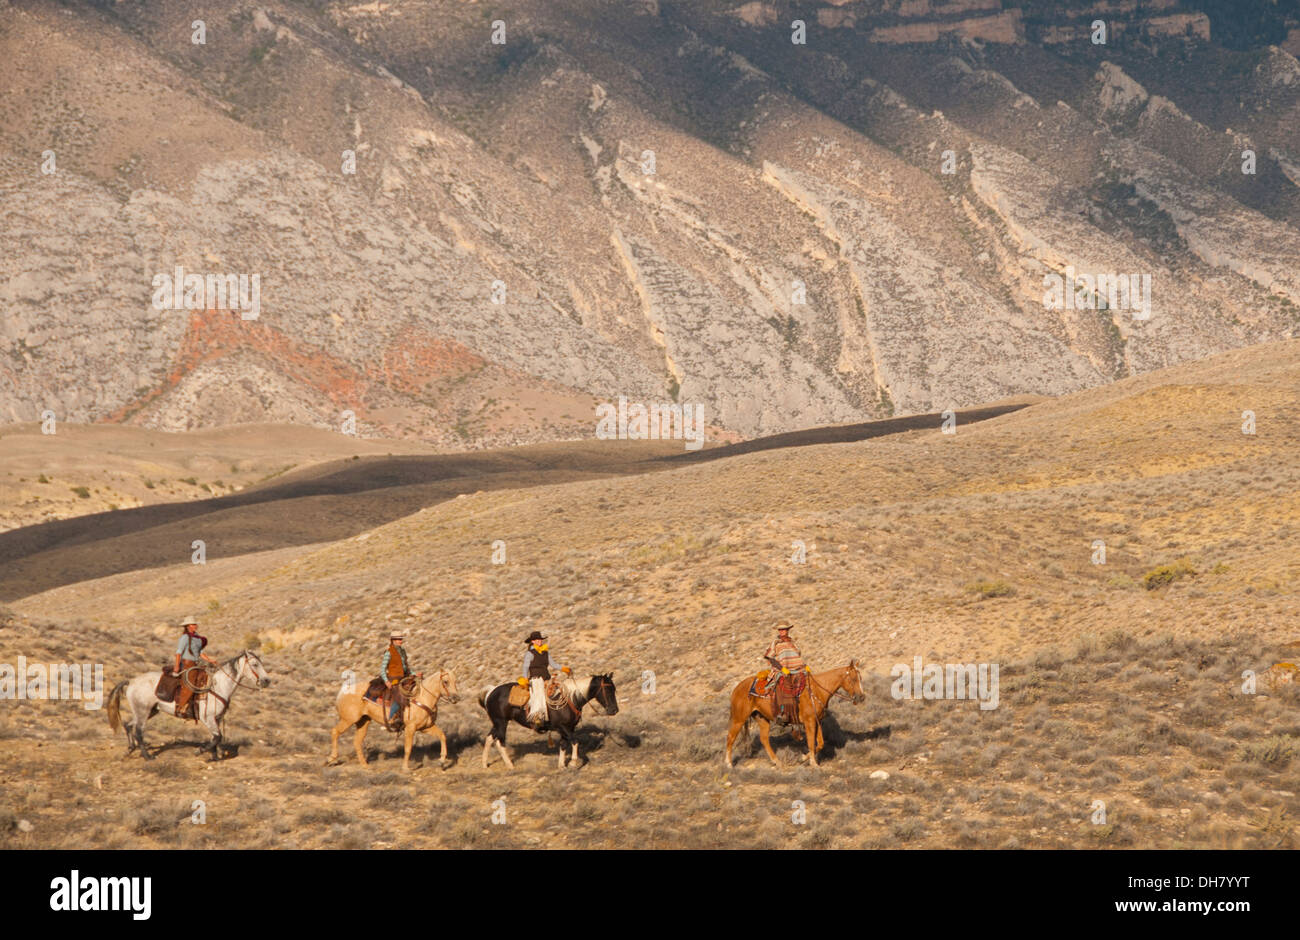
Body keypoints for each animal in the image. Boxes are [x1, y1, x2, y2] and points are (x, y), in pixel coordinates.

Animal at [105, 650, 270, 759]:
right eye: (255, 664)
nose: (267, 681)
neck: (218, 686)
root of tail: (131, 681)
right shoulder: (207, 718)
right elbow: (217, 737)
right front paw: (200, 751)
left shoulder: (216, 719)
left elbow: (216, 738)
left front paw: (215, 756)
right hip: (143, 711)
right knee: (138, 731)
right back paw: (147, 756)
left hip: (148, 711)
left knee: (128, 725)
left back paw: (130, 748)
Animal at [327, 670, 460, 769]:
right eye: (446, 681)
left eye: (455, 681)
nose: (456, 698)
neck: (422, 698)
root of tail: (344, 691)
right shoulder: (410, 728)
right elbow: (408, 748)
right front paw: (405, 768)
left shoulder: (425, 727)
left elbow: (442, 736)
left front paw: (442, 760)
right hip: (348, 719)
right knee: (335, 732)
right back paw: (332, 759)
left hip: (363, 721)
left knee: (357, 742)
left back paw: (365, 765)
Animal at [478, 676, 618, 769]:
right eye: (608, 690)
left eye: (614, 689)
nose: (614, 710)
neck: (570, 699)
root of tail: (491, 692)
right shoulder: (564, 727)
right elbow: (575, 741)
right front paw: (573, 762)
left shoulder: (569, 728)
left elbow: (563, 744)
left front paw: (562, 766)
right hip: (501, 723)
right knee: (500, 741)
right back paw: (510, 765)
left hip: (497, 723)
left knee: (490, 738)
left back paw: (485, 764)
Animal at [728, 663, 868, 769]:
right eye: (853, 679)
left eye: (861, 678)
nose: (861, 697)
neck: (817, 690)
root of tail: (737, 687)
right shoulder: (809, 721)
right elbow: (811, 742)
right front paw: (813, 763)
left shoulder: (817, 721)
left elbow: (820, 743)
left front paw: (803, 758)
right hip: (739, 719)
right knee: (730, 738)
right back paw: (728, 764)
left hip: (762, 718)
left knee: (764, 739)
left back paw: (777, 762)